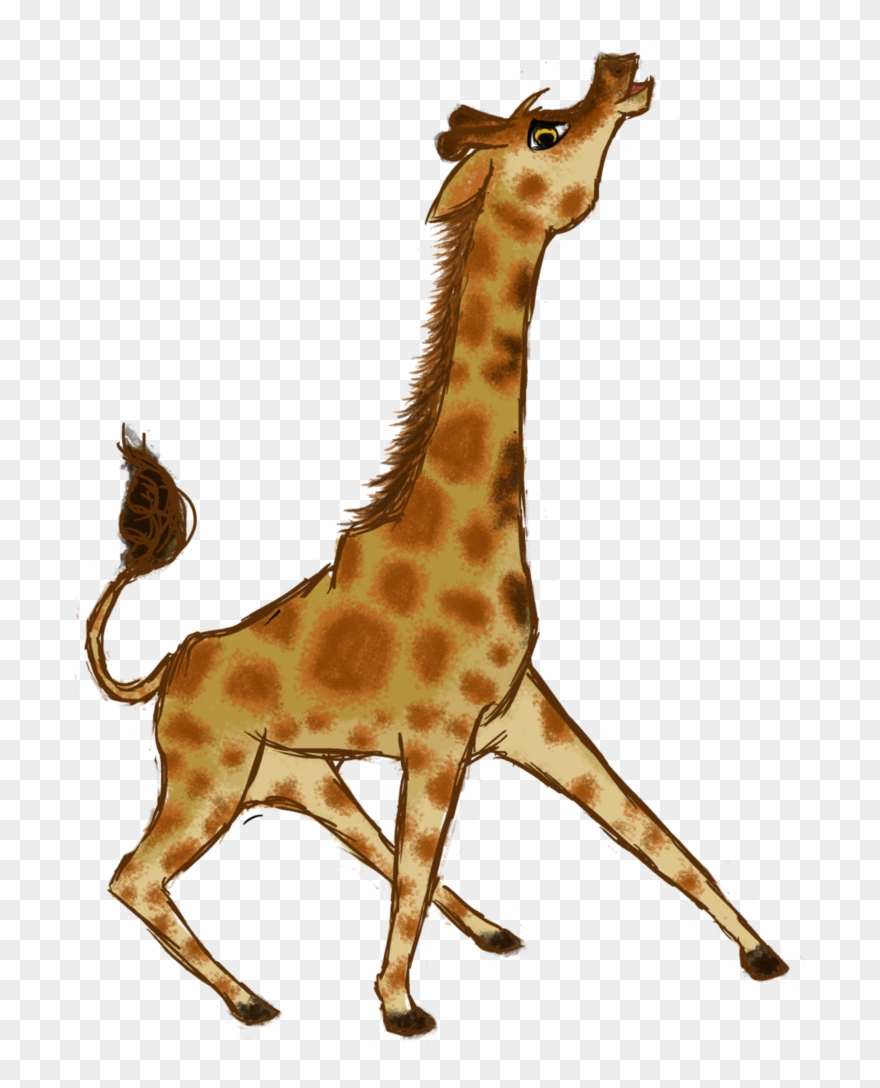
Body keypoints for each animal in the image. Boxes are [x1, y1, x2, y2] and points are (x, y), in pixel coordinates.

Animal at [86, 54, 789, 1037]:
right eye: (545, 131)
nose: (621, 70)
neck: (467, 534)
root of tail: (164, 671)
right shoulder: (438, 735)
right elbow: (424, 861)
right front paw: (399, 1007)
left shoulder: (523, 716)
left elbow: (655, 834)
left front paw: (763, 953)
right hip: (210, 777)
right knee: (134, 875)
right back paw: (252, 1000)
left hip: (299, 780)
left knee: (366, 850)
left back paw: (486, 933)